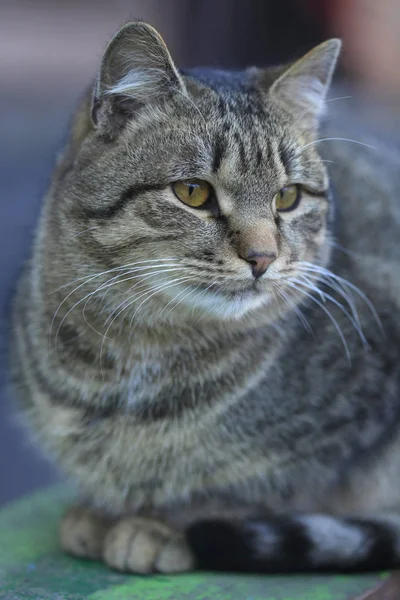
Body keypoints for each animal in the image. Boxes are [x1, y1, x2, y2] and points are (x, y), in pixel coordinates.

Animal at [10, 17, 400, 572]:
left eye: (288, 197)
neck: (141, 349)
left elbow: (264, 486)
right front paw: (100, 511)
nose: (262, 257)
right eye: (193, 192)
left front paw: (161, 525)